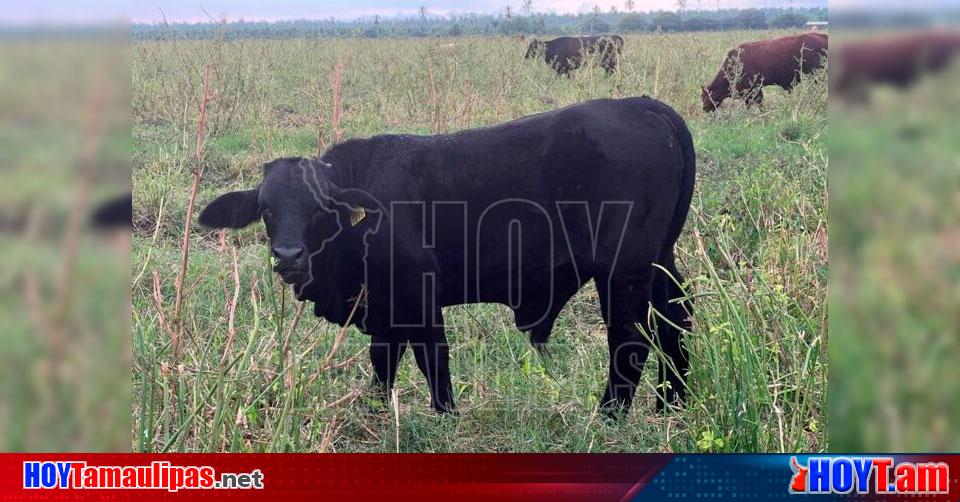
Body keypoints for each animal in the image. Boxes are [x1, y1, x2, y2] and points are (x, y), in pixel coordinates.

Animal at [201, 96, 696, 418]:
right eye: (266, 208)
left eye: (320, 209)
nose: (288, 255)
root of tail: (642, 106)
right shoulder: (384, 306)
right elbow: (383, 362)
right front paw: (377, 411)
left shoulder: (419, 295)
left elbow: (432, 360)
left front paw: (446, 415)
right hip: (659, 262)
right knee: (676, 321)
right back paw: (671, 405)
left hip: (622, 270)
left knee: (630, 339)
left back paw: (611, 414)